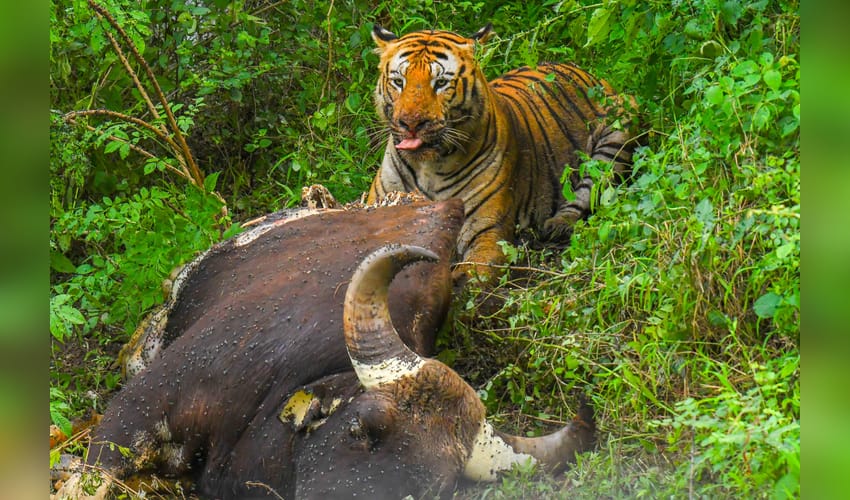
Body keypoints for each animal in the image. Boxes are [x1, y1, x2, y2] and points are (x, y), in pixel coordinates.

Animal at [366, 23, 640, 279]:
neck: (428, 167)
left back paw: (555, 226)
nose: (411, 124)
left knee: (587, 193)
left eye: (441, 83)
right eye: (398, 82)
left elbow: (466, 278)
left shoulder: (486, 232)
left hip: (620, 126)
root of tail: (588, 74)